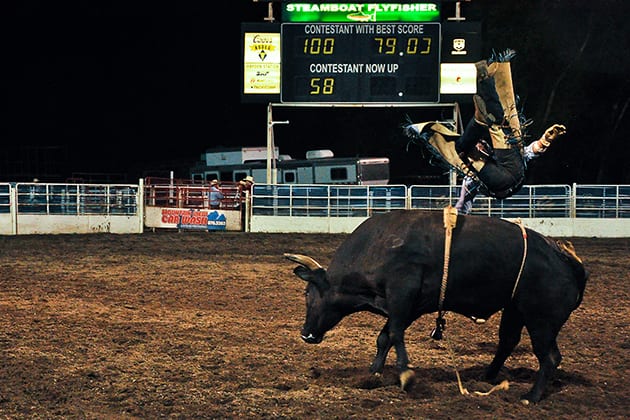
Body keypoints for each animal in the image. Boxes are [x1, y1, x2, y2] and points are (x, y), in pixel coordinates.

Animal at [284, 210, 592, 404]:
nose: (305, 334)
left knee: (549, 357)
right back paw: (486, 376)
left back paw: (531, 397)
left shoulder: (402, 294)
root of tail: (567, 260)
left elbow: (395, 333)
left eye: (307, 293)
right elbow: (385, 336)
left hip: (541, 320)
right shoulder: (410, 305)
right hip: (515, 310)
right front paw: (373, 372)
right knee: (508, 341)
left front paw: (406, 376)